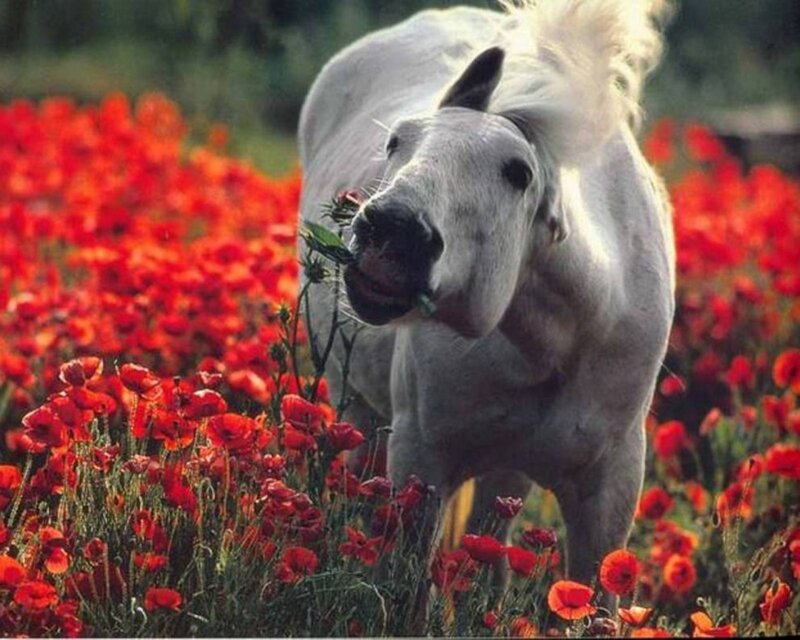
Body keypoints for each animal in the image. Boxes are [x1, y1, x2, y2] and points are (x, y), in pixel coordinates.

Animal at [298, 0, 674, 607]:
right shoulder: (422, 462)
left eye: (517, 174)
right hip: (357, 411)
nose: (391, 232)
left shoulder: (610, 490)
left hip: (504, 475)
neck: (558, 341)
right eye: (397, 141)